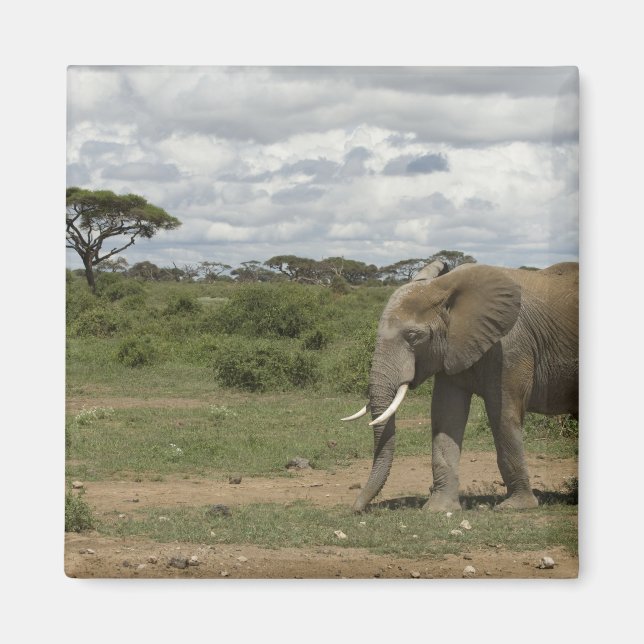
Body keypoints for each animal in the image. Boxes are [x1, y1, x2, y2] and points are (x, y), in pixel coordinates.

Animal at [342, 260, 578, 513]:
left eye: (414, 336)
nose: (355, 508)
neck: (444, 287)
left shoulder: (512, 348)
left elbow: (503, 415)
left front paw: (516, 506)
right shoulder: (451, 347)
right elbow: (446, 414)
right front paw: (438, 509)